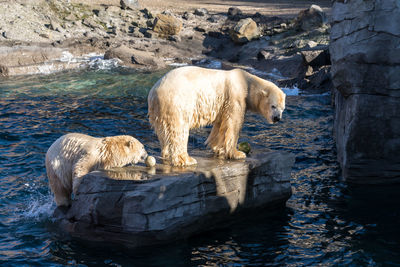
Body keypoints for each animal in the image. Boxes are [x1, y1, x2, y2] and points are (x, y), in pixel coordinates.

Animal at [148, 66, 286, 168]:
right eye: (273, 106)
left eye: (282, 108)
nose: (277, 118)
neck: (246, 82)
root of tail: (154, 92)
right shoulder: (235, 96)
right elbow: (233, 123)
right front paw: (237, 153)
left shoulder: (223, 103)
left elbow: (221, 124)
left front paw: (216, 147)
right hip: (177, 102)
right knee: (178, 131)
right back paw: (186, 159)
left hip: (159, 112)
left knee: (164, 131)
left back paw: (167, 154)